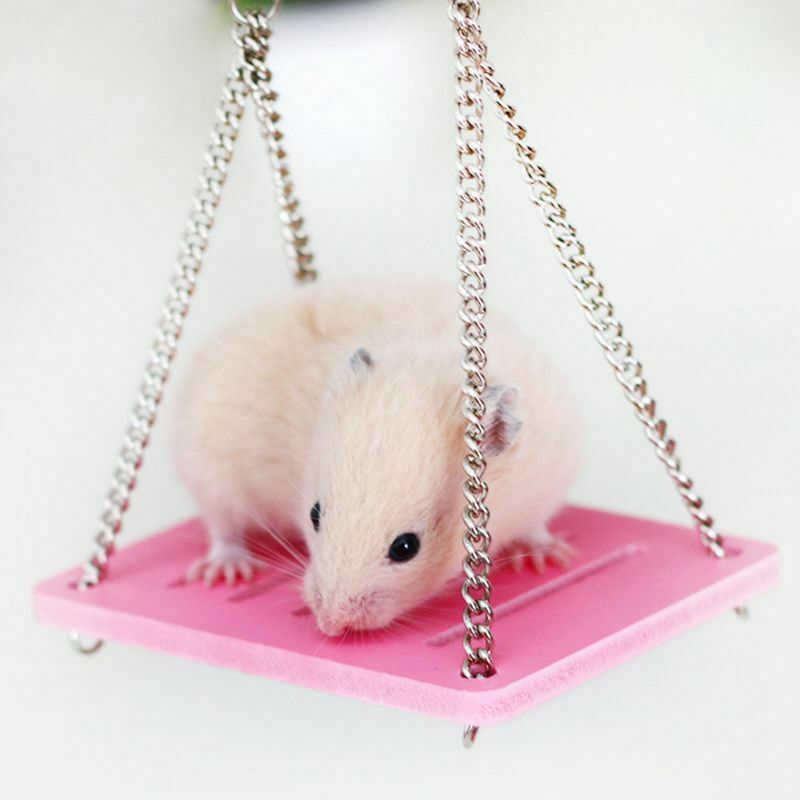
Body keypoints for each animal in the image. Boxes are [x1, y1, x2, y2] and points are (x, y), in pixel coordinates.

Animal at [174, 281, 581, 636]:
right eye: (314, 514)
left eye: (406, 547)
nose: (329, 625)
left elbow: (535, 525)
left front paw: (549, 557)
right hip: (208, 461)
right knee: (223, 526)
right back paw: (225, 572)